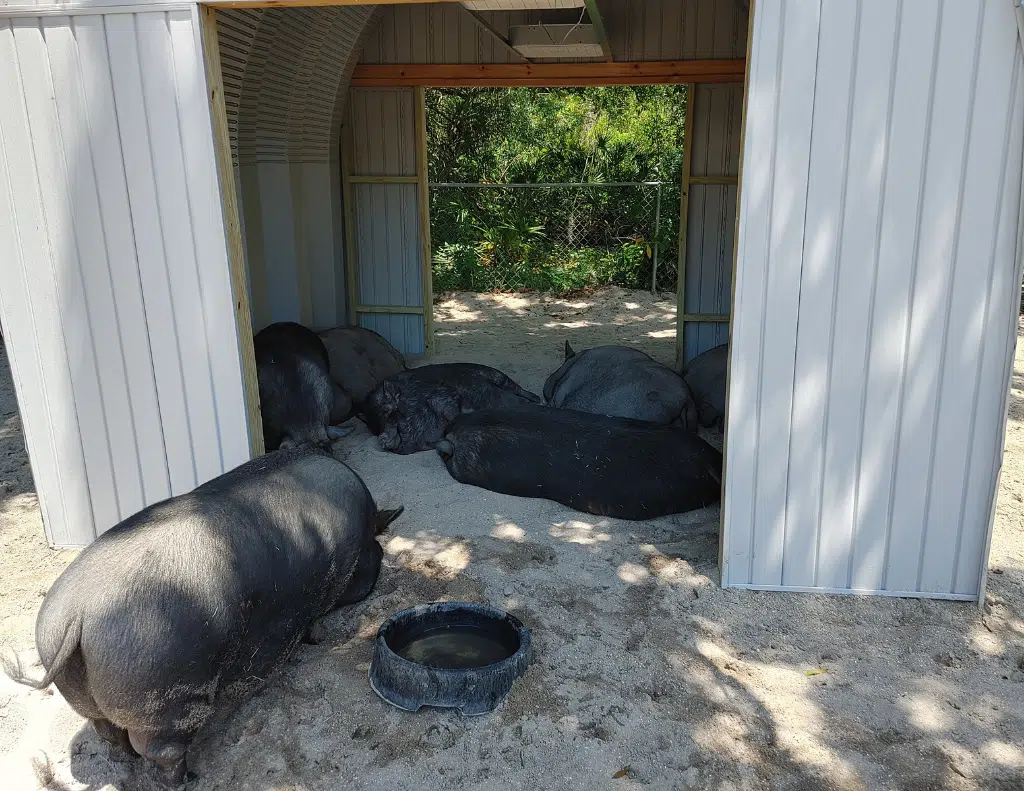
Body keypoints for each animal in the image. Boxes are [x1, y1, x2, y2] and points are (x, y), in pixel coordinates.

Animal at [8, 448, 401, 786]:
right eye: (374, 548)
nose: (381, 556)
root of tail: (79, 615)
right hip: (167, 700)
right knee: (163, 752)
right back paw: (189, 779)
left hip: (85, 696)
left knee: (108, 734)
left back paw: (125, 760)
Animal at [366, 360, 548, 454]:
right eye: (373, 428)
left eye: (386, 413)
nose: (381, 439)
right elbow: (443, 443)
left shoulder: (444, 400)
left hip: (500, 377)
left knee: (519, 391)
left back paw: (537, 399)